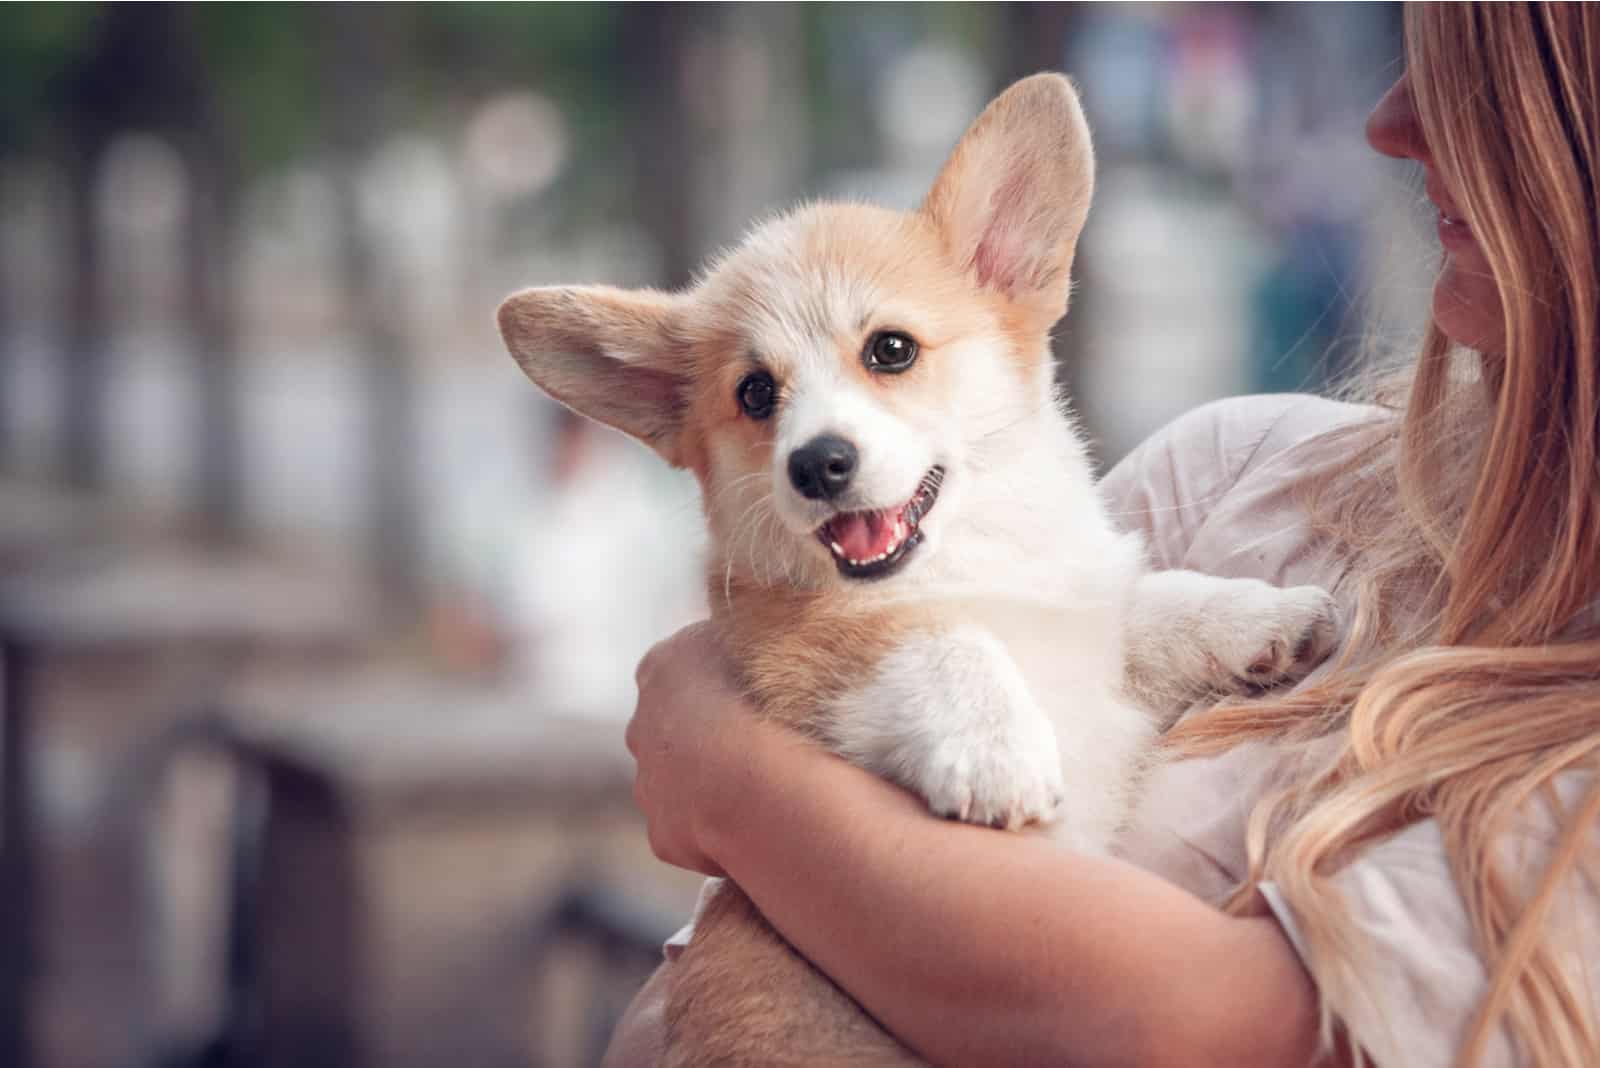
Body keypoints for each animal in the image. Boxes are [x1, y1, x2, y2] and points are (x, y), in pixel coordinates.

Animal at [499, 75, 1337, 1068]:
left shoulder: (1088, 623)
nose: (817, 464)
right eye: (755, 393)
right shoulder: (812, 664)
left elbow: (1155, 603)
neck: (974, 562)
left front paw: (1271, 615)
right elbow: (943, 641)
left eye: (890, 350)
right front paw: (996, 753)